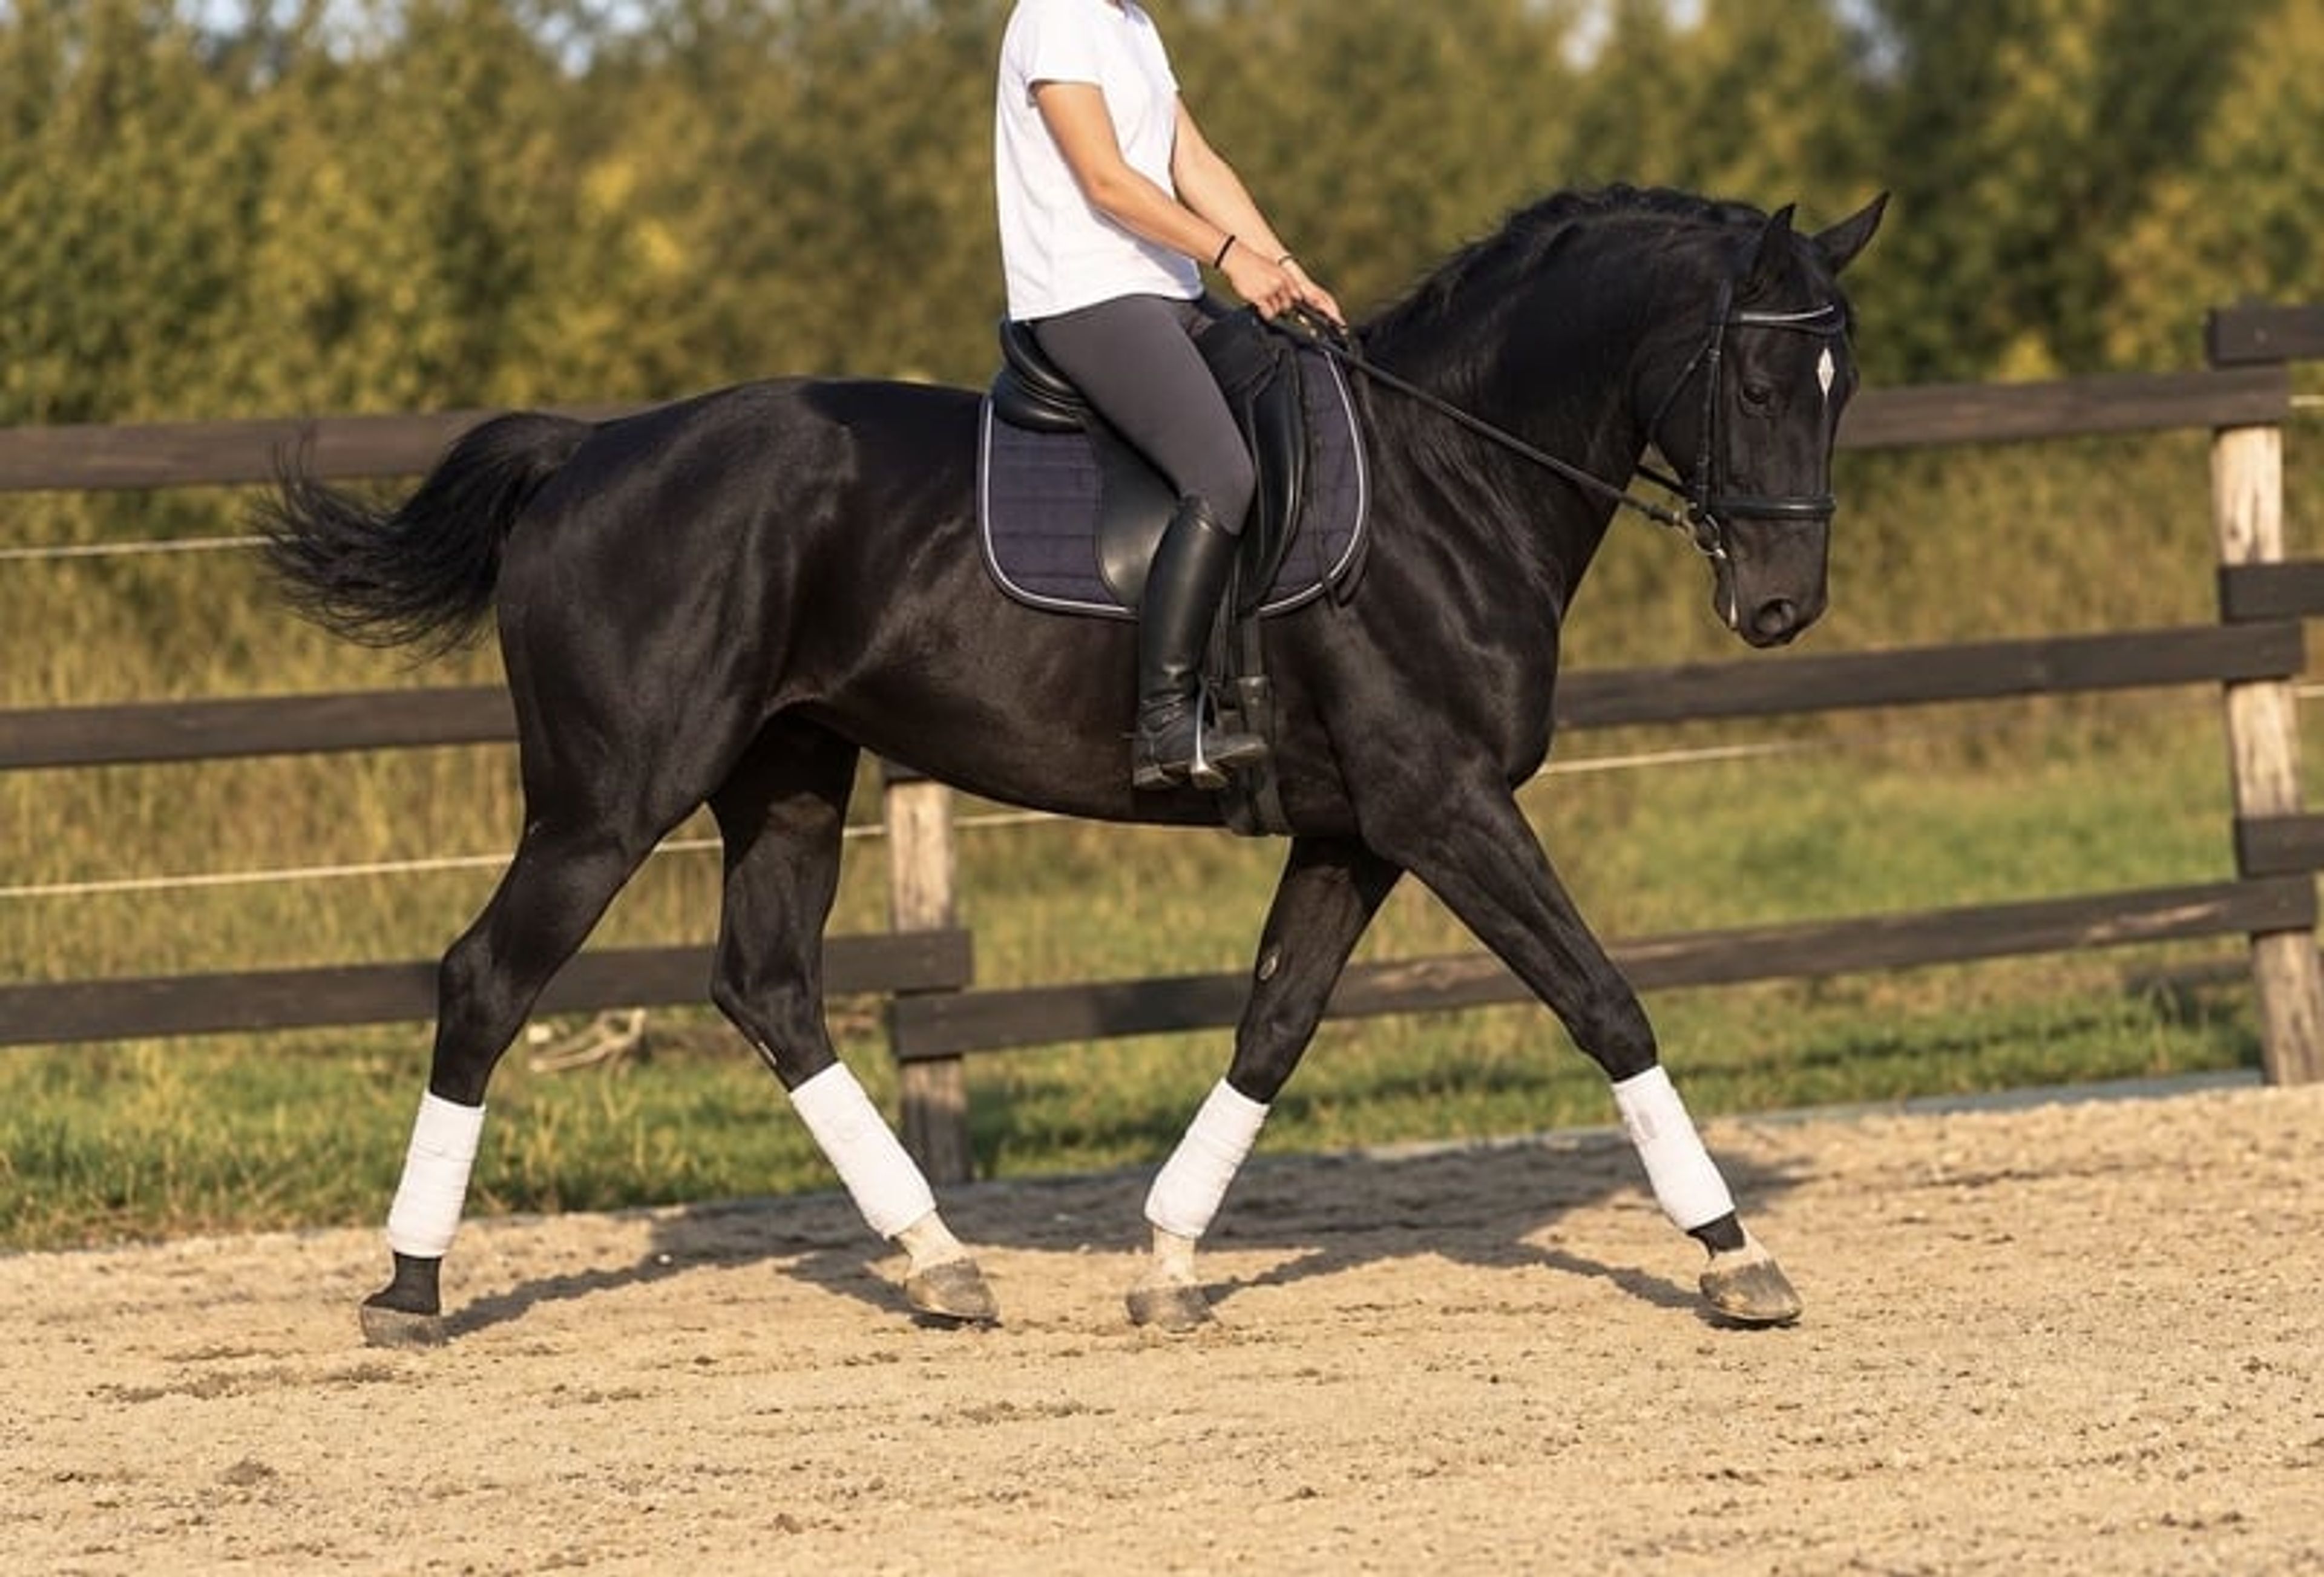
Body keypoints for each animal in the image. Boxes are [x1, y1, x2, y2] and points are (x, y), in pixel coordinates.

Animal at [260, 184, 1886, 1344]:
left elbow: (1271, 1026)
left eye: (1840, 384)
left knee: (769, 987)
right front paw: (1736, 1254)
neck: (1451, 477)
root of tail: (587, 453)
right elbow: (1603, 1000)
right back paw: (410, 1291)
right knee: (488, 978)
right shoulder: (1444, 805)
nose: (1780, 608)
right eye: (1754, 382)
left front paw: (1165, 1261)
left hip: (788, 772)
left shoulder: (1359, 829)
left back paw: (937, 1262)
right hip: (610, 798)